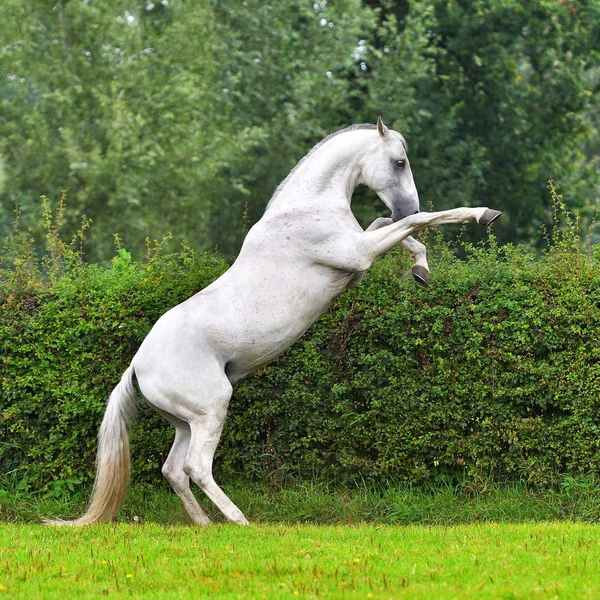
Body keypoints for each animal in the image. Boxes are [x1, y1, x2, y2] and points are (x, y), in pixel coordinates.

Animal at [47, 120, 500, 524]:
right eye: (399, 161)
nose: (410, 203)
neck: (304, 208)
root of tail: (137, 366)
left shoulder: (357, 263)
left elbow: (393, 226)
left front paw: (421, 270)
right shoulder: (358, 254)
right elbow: (415, 223)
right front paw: (483, 214)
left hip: (185, 422)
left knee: (173, 470)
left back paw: (204, 524)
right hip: (211, 410)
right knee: (197, 468)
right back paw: (239, 521)